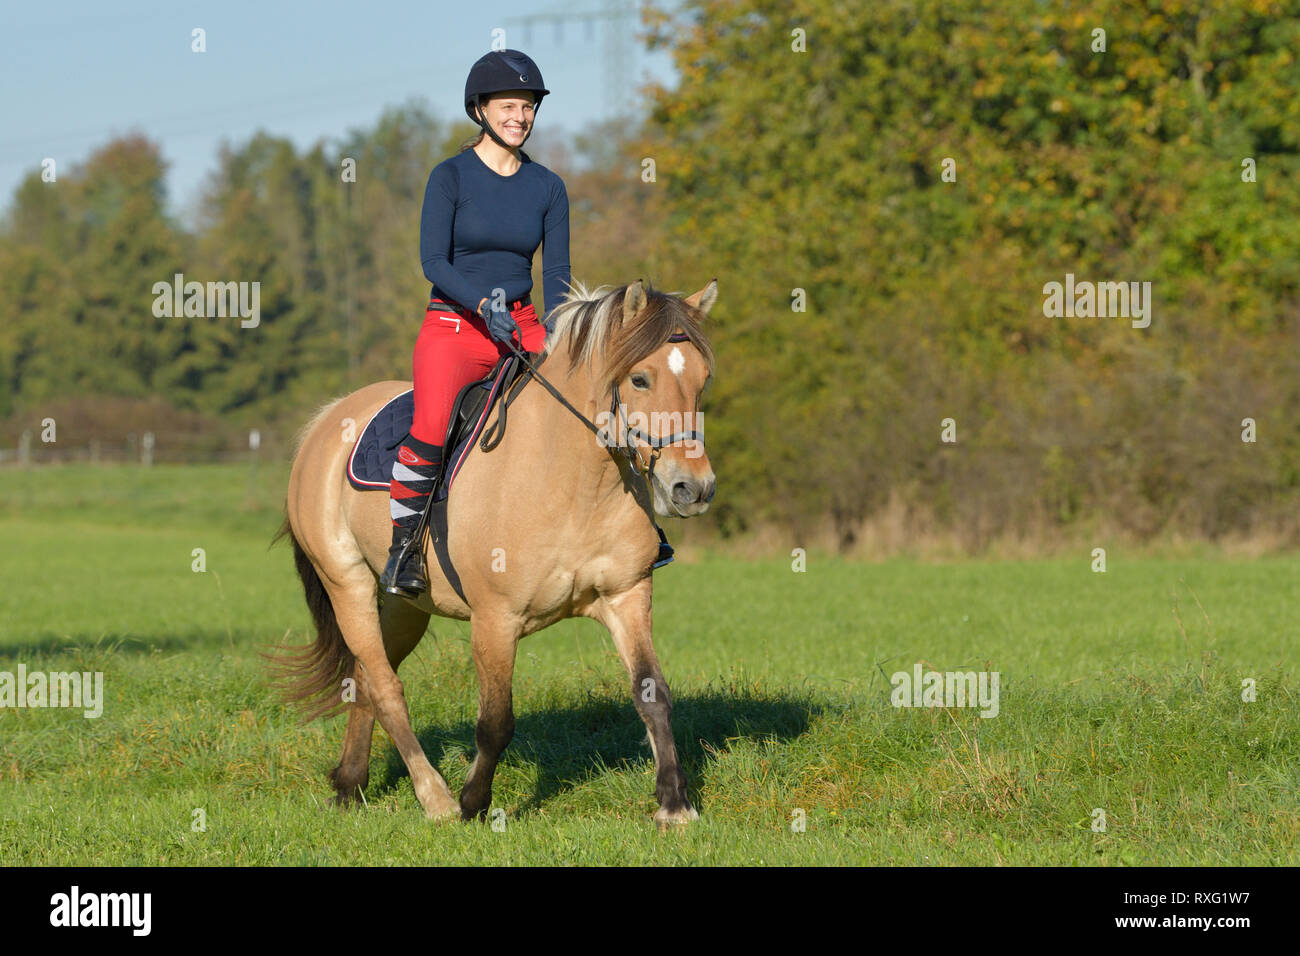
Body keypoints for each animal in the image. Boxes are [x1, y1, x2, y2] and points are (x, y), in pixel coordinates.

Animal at [272, 278, 718, 827]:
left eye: (702, 380)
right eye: (640, 379)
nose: (693, 489)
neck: (576, 483)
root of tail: (327, 419)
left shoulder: (627, 597)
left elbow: (653, 694)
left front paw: (675, 806)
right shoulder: (496, 620)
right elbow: (496, 722)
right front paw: (473, 805)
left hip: (404, 605)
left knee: (366, 677)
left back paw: (350, 784)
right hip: (347, 584)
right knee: (386, 687)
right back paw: (435, 798)